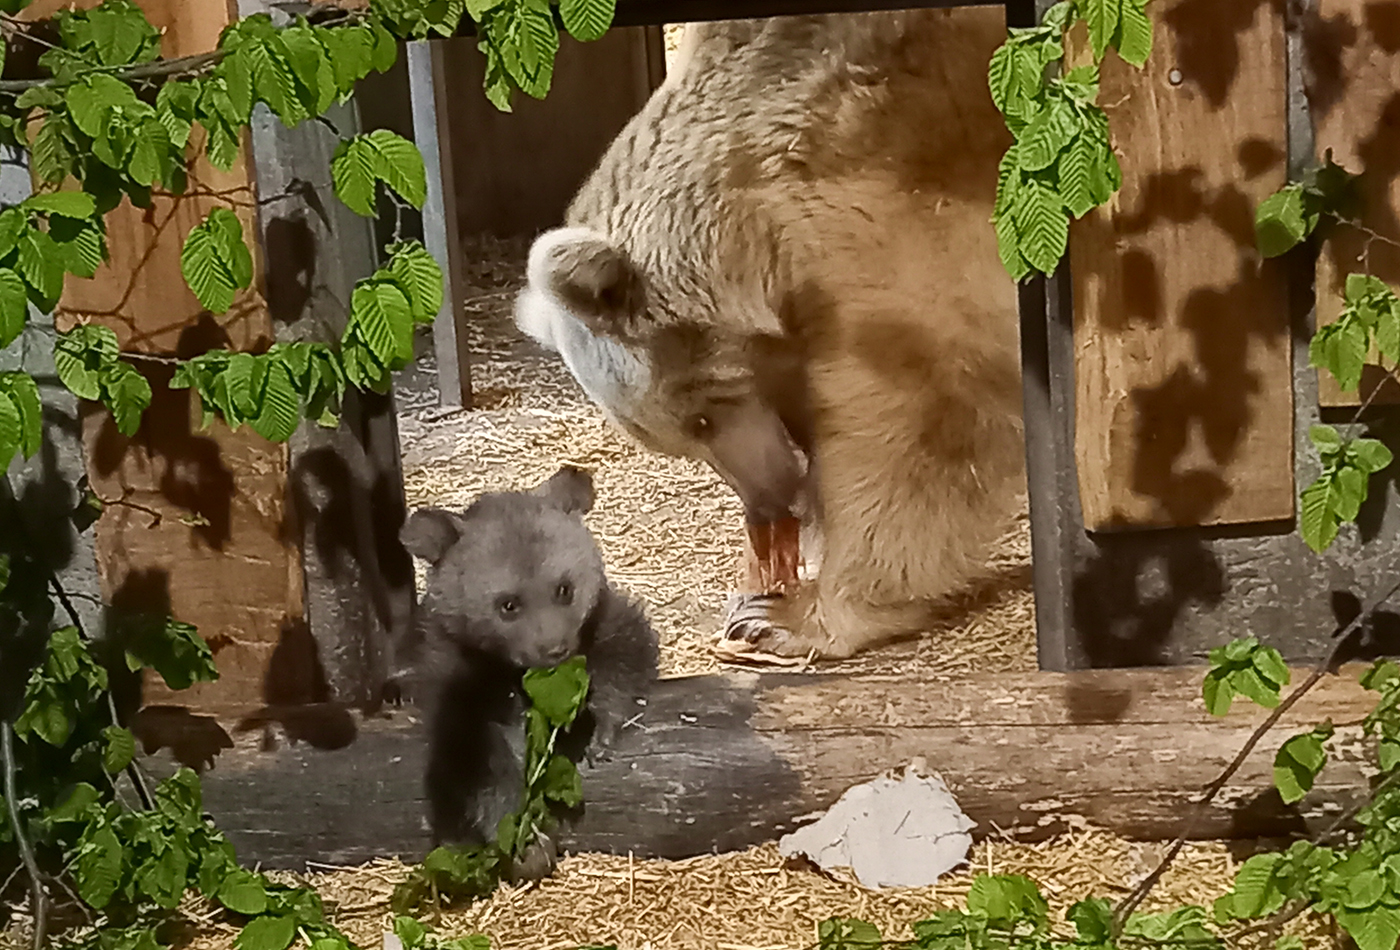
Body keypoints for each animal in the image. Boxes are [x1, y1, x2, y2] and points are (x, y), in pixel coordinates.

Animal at [515, 9, 1030, 660]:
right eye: (682, 441)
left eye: (699, 420)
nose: (769, 502)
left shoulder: (896, 194)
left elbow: (926, 411)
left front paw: (786, 614)